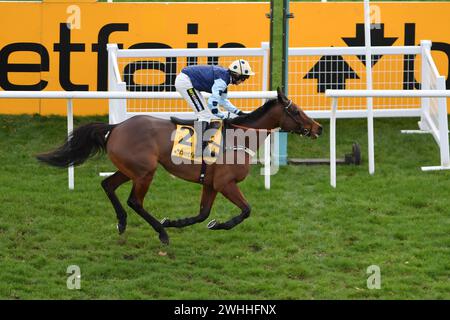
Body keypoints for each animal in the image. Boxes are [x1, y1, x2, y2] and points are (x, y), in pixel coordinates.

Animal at [37, 89, 322, 244]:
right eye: (296, 111)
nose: (318, 127)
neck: (239, 137)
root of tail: (115, 127)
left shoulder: (211, 184)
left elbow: (202, 214)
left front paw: (179, 221)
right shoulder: (225, 183)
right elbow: (246, 210)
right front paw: (215, 225)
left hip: (130, 169)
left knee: (107, 184)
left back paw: (122, 222)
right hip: (145, 171)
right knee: (134, 201)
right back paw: (161, 233)